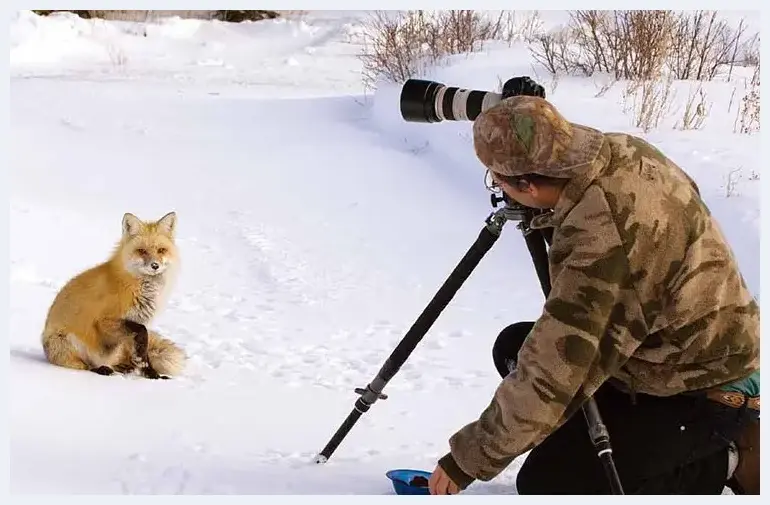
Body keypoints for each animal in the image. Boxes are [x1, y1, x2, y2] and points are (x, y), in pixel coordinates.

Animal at [41, 210, 186, 378]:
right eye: (142, 251)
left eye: (161, 250)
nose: (155, 265)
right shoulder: (105, 321)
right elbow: (142, 332)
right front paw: (147, 370)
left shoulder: (134, 326)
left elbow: (143, 348)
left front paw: (150, 373)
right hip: (67, 342)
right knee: (85, 365)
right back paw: (102, 369)